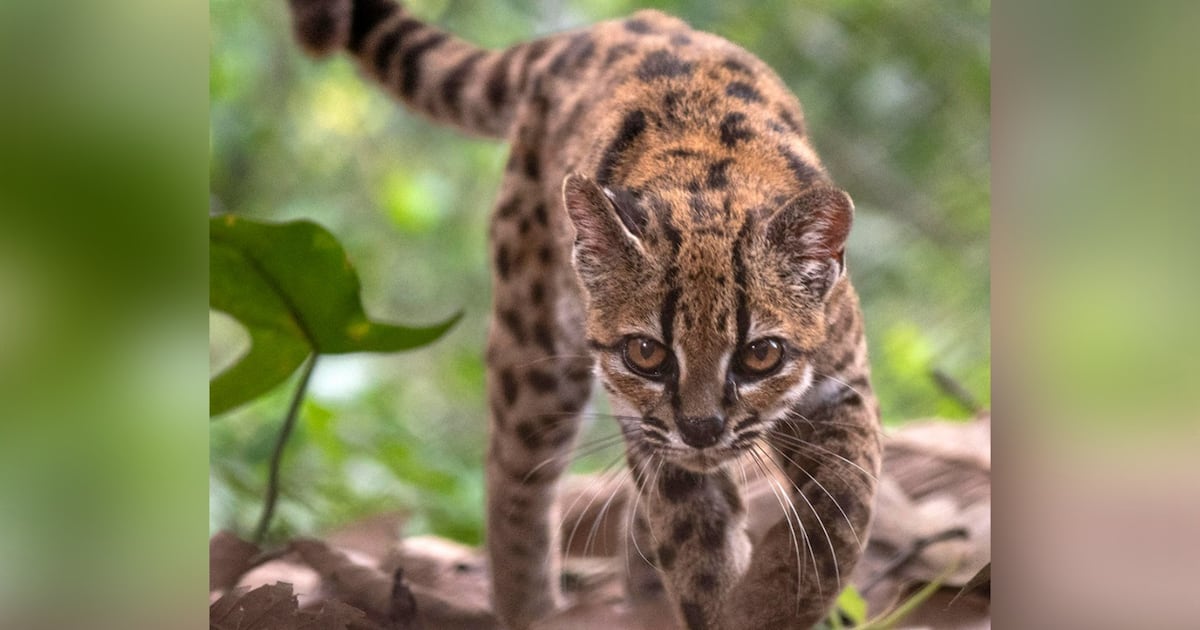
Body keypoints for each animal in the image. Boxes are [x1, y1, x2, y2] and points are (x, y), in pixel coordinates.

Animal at [285, 1, 882, 628]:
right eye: (646, 353)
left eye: (760, 354)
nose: (701, 429)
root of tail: (601, 30)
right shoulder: (650, 431)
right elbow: (698, 549)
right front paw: (732, 607)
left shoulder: (841, 386)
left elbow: (840, 514)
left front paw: (774, 599)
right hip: (533, 342)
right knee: (514, 480)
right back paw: (532, 610)